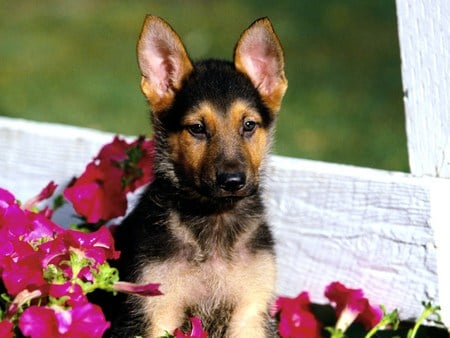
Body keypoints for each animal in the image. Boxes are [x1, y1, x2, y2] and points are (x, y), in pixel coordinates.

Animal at [110, 15, 286, 338]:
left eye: (249, 125)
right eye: (197, 128)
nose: (233, 182)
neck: (214, 219)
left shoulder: (251, 314)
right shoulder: (155, 312)